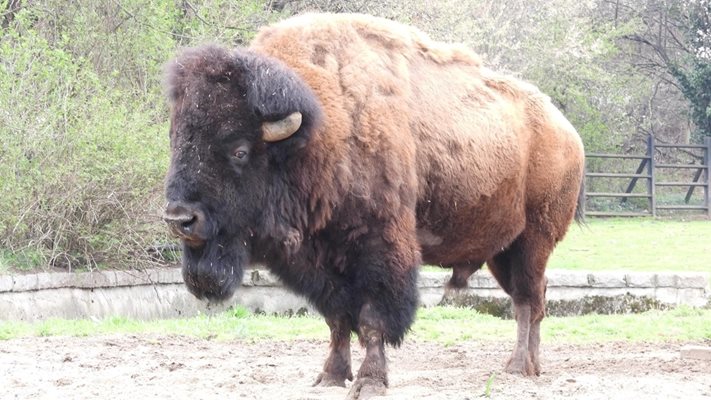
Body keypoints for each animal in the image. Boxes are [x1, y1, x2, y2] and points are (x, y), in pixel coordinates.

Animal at [164, 12, 588, 400]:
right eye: (179, 141)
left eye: (239, 150)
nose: (179, 218)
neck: (321, 128)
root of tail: (566, 130)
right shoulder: (320, 262)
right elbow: (336, 318)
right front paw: (330, 376)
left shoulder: (379, 250)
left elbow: (371, 319)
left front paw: (369, 382)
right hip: (501, 249)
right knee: (530, 297)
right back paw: (531, 365)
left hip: (534, 240)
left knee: (528, 301)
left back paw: (518, 367)